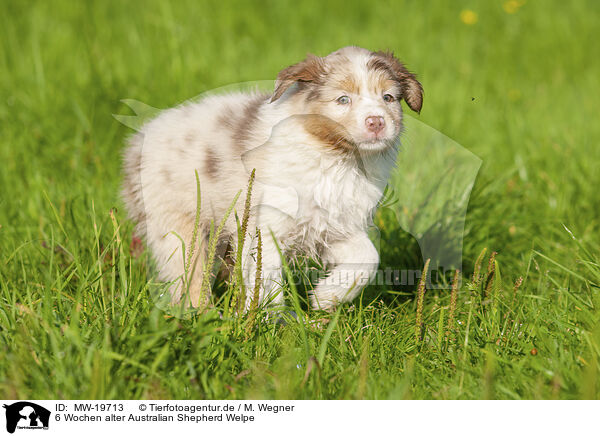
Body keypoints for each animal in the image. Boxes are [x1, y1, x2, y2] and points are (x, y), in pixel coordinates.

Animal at [122, 46, 422, 312]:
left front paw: (325, 298)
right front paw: (268, 324)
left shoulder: (333, 225)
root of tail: (139, 139)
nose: (377, 122)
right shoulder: (266, 226)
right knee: (189, 276)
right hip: (176, 225)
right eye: (343, 99)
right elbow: (264, 279)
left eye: (388, 97)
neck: (337, 157)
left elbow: (368, 257)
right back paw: (202, 315)